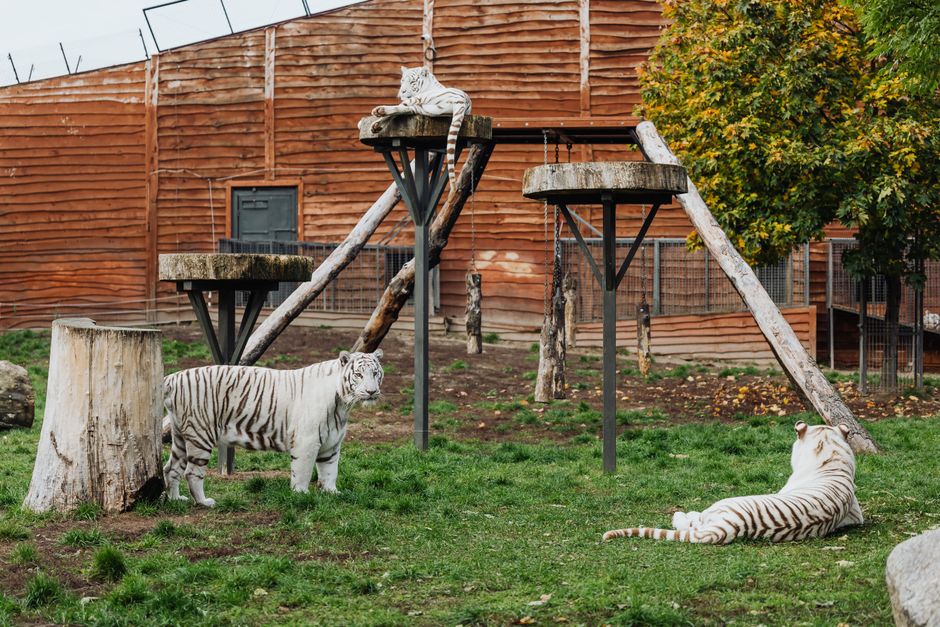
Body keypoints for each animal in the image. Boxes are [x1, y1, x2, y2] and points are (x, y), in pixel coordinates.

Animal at [162, 350, 384, 507]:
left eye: (375, 373)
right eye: (358, 375)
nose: (372, 392)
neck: (342, 405)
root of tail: (172, 377)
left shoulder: (331, 444)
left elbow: (330, 471)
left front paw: (332, 493)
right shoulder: (307, 442)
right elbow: (302, 472)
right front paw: (301, 496)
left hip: (180, 435)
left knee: (171, 468)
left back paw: (176, 499)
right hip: (201, 434)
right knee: (192, 472)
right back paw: (204, 502)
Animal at [368, 65, 472, 194]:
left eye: (412, 82)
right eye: (402, 81)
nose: (402, 91)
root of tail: (462, 101)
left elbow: (400, 107)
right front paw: (376, 126)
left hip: (420, 100)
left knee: (401, 107)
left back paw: (379, 110)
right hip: (425, 109)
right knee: (403, 109)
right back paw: (378, 119)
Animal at [603, 421, 864, 544]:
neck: (831, 457)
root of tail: (729, 526)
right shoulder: (856, 514)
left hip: (719, 506)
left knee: (692, 523)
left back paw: (679, 514)